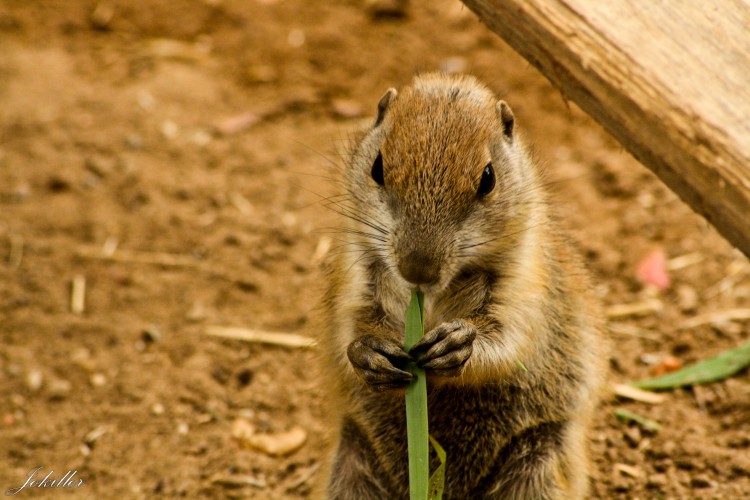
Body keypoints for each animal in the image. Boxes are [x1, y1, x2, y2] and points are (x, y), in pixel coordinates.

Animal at [318, 74, 604, 500]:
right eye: (377, 167)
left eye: (488, 178)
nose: (417, 269)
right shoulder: (352, 277)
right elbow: (346, 329)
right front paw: (368, 352)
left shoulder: (527, 286)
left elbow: (510, 339)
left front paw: (457, 342)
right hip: (351, 459)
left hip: (540, 462)